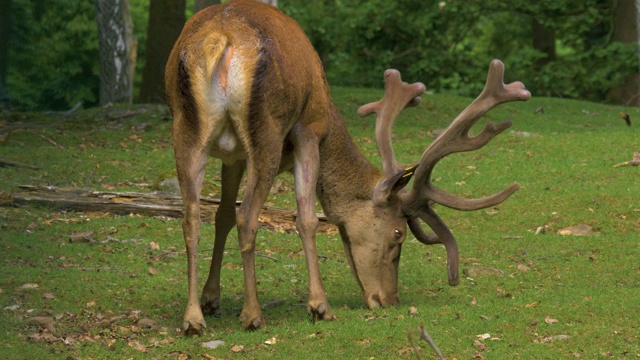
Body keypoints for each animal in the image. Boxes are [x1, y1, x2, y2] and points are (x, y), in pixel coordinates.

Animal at [165, 0, 528, 338]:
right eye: (398, 233)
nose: (389, 299)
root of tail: (221, 39)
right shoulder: (309, 129)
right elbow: (307, 218)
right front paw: (319, 305)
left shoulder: (234, 156)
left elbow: (222, 215)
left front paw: (212, 298)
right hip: (267, 130)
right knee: (248, 217)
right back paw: (253, 314)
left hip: (185, 130)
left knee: (192, 217)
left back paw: (193, 318)